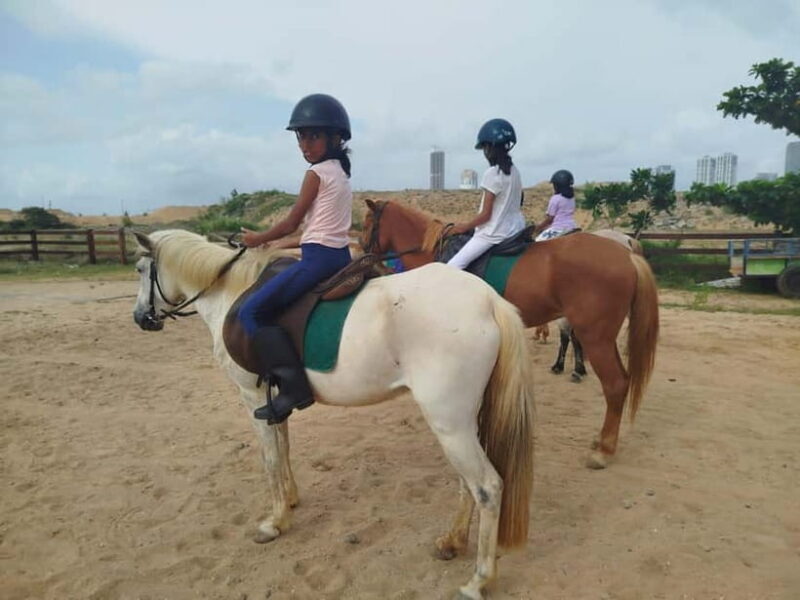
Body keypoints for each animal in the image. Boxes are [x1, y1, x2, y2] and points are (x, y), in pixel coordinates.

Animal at [130, 229, 535, 600]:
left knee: (487, 487)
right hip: (462, 423)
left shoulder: (251, 396)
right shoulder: (273, 400)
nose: (140, 318)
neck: (231, 293)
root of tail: (487, 300)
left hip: (449, 424)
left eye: (140, 269)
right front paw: (291, 501)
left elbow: (270, 459)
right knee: (468, 484)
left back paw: (478, 581)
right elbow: (284, 448)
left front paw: (274, 522)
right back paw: (452, 541)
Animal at [360, 200, 659, 469]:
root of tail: (625, 253)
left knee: (615, 384)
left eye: (367, 224)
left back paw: (603, 450)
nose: (362, 254)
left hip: (596, 338)